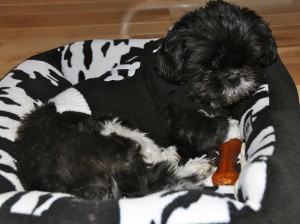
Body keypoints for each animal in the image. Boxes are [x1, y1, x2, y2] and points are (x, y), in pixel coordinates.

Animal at [14, 0, 276, 200]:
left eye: (247, 58)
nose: (233, 77)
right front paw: (232, 128)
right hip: (117, 132)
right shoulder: (183, 119)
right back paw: (191, 166)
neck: (181, 83)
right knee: (153, 178)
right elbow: (213, 126)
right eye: (208, 65)